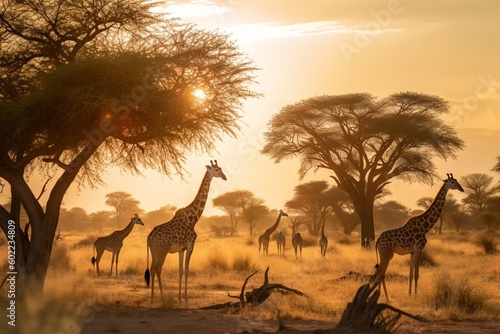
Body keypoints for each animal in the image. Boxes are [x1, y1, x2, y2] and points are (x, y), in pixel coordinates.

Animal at [143, 160, 225, 306]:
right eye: (217, 169)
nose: (224, 176)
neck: (194, 219)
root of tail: (149, 237)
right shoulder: (191, 245)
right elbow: (187, 271)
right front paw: (186, 299)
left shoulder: (181, 249)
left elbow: (180, 271)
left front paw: (180, 298)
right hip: (162, 250)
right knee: (158, 269)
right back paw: (162, 297)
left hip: (154, 251)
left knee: (152, 269)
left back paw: (152, 297)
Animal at [372, 172, 464, 302]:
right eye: (453, 182)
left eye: (456, 181)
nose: (462, 189)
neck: (425, 226)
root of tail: (378, 241)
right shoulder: (419, 248)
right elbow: (417, 275)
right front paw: (416, 295)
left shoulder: (412, 251)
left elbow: (410, 274)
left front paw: (410, 294)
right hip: (387, 253)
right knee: (381, 273)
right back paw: (386, 298)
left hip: (383, 253)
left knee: (379, 272)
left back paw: (381, 296)